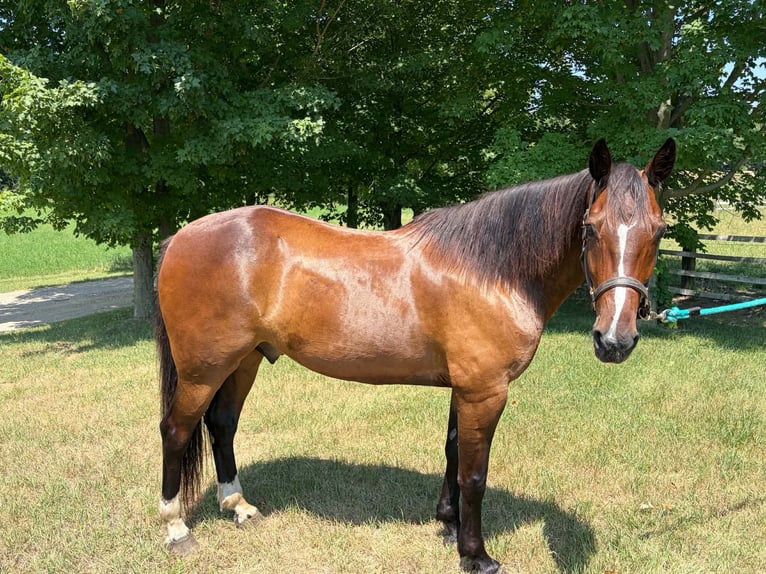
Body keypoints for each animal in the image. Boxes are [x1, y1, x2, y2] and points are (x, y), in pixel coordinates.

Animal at [155, 138, 675, 573]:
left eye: (658, 231)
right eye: (590, 230)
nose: (614, 340)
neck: (492, 270)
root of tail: (179, 238)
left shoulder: (465, 388)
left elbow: (452, 453)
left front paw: (447, 525)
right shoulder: (485, 392)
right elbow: (474, 474)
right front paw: (476, 555)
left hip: (243, 361)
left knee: (222, 425)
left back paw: (239, 507)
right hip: (203, 369)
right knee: (176, 430)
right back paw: (176, 528)